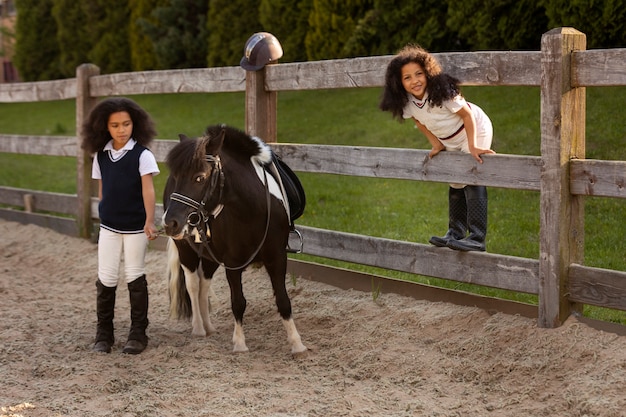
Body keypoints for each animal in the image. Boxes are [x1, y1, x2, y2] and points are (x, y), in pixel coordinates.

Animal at [162, 124, 306, 354]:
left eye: (199, 177)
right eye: (175, 176)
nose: (170, 223)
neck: (253, 210)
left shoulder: (277, 257)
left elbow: (283, 299)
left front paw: (296, 343)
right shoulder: (232, 263)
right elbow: (238, 301)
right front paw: (239, 343)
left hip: (210, 256)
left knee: (204, 284)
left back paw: (209, 326)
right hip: (186, 251)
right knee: (193, 285)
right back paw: (199, 328)